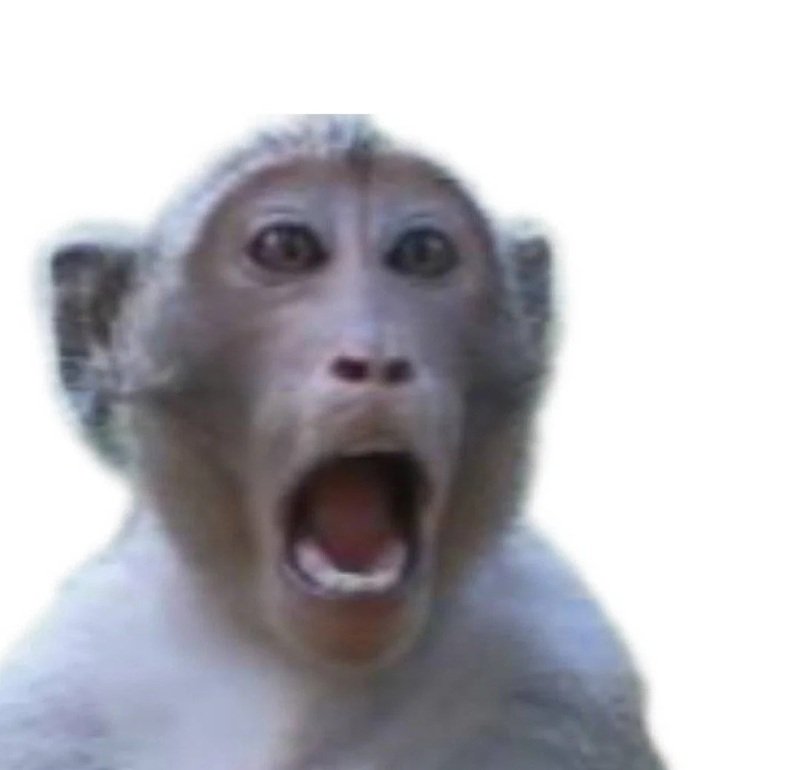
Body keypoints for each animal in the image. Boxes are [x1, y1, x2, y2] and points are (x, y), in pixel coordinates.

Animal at [0, 115, 665, 769]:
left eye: (423, 254)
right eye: (286, 248)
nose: (376, 356)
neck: (300, 676)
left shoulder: (565, 673)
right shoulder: (60, 696)